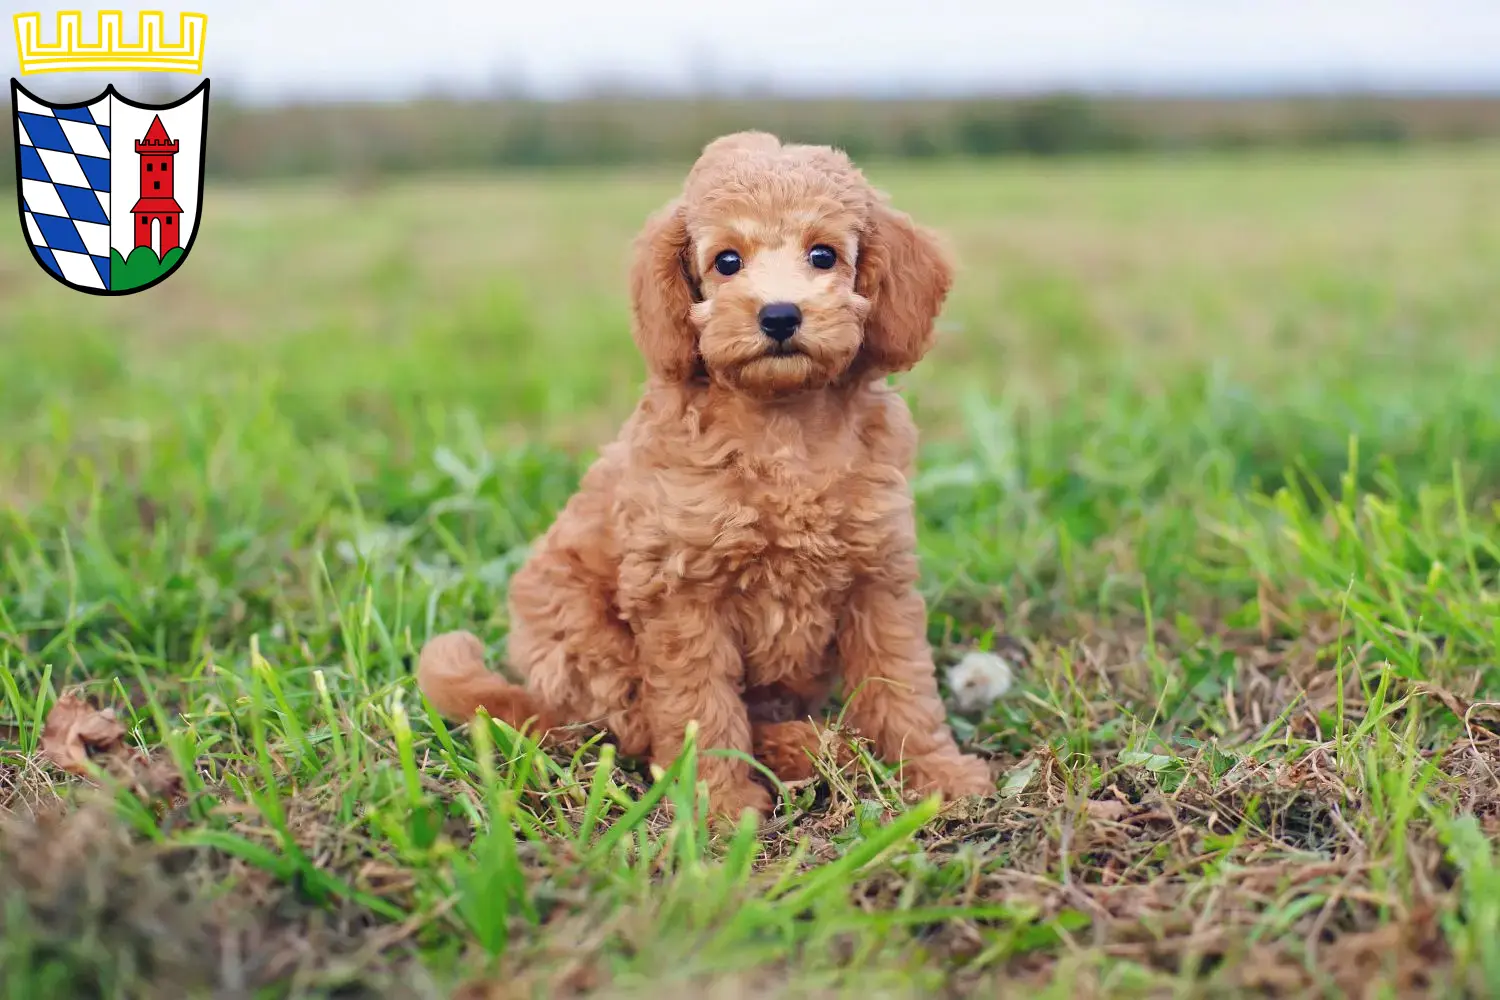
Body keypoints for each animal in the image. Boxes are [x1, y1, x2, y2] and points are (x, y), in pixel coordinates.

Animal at [417, 131, 990, 821]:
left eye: (823, 255)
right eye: (726, 261)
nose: (779, 316)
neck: (783, 426)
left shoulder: (878, 580)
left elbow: (902, 687)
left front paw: (936, 775)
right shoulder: (680, 593)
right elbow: (700, 709)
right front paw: (718, 807)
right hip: (584, 641)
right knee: (635, 727)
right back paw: (807, 747)